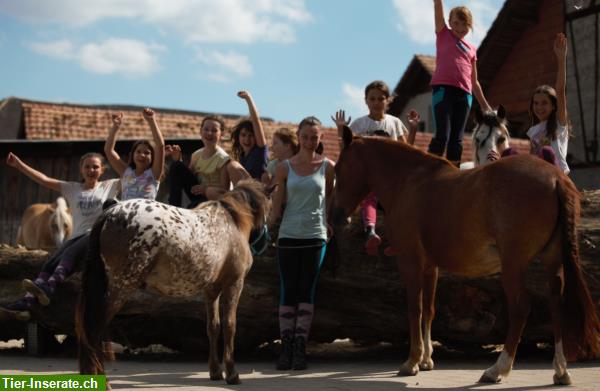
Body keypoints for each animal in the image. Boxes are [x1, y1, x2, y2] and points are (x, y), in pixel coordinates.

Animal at [75, 180, 270, 386]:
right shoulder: (234, 284)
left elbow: (213, 327)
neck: (232, 223)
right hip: (119, 288)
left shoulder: (211, 290)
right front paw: (232, 373)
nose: (266, 239)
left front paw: (216, 371)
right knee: (94, 331)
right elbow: (230, 326)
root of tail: (109, 213)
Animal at [330, 126, 600, 386]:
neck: (409, 181)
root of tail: (555, 178)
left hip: (513, 266)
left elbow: (414, 309)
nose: (335, 215)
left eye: (339, 169)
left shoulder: (410, 262)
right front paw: (426, 359)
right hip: (552, 260)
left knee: (520, 307)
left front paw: (412, 361)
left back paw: (497, 369)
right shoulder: (430, 267)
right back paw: (560, 370)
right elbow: (429, 309)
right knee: (556, 303)